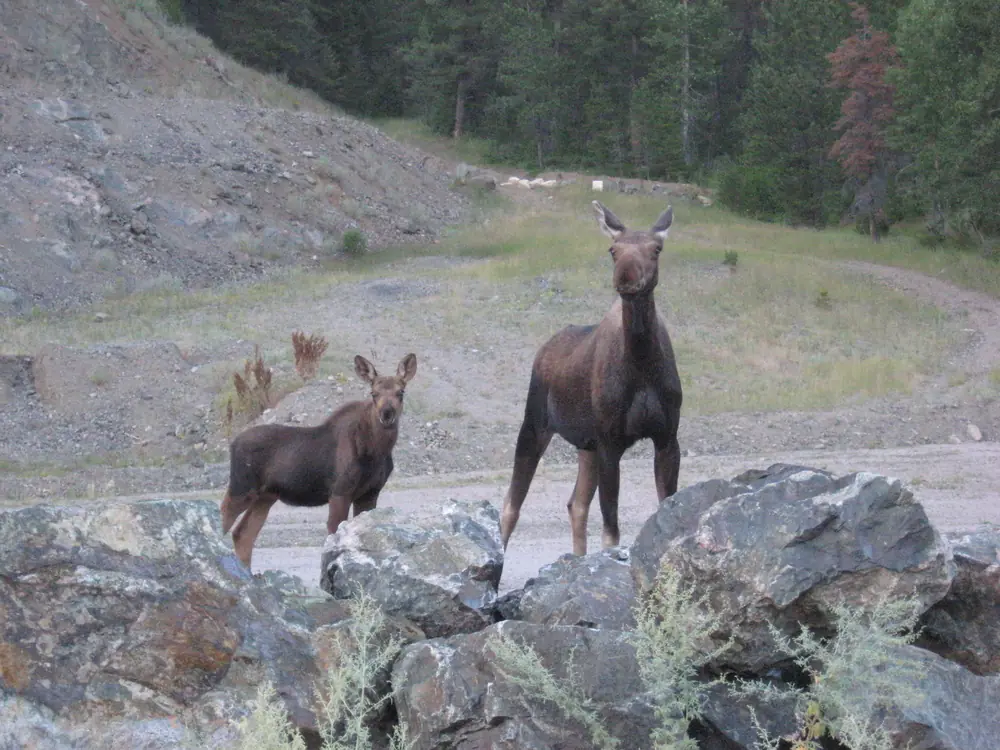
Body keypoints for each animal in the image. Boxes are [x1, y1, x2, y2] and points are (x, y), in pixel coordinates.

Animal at [220, 352, 417, 569]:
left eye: (401, 392)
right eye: (373, 393)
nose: (387, 413)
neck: (376, 451)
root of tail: (233, 444)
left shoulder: (370, 493)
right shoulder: (340, 491)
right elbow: (332, 536)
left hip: (266, 495)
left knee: (243, 534)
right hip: (242, 487)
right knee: (223, 517)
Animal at [500, 201, 682, 557]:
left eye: (656, 248)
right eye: (613, 249)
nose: (626, 276)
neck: (642, 364)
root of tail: (544, 349)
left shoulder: (667, 437)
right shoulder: (611, 442)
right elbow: (611, 531)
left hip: (587, 444)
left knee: (576, 504)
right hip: (535, 425)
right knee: (510, 505)